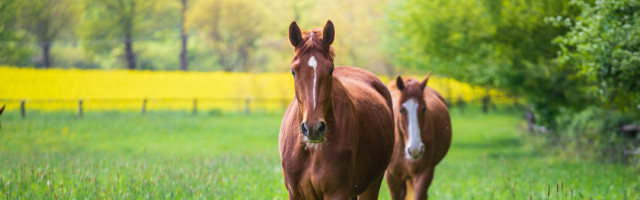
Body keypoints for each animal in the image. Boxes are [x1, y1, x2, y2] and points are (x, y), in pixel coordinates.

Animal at [278, 20, 396, 200]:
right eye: (293, 71)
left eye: (330, 70)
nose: (313, 128)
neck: (312, 151)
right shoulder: (295, 194)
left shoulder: (337, 192)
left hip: (372, 185)